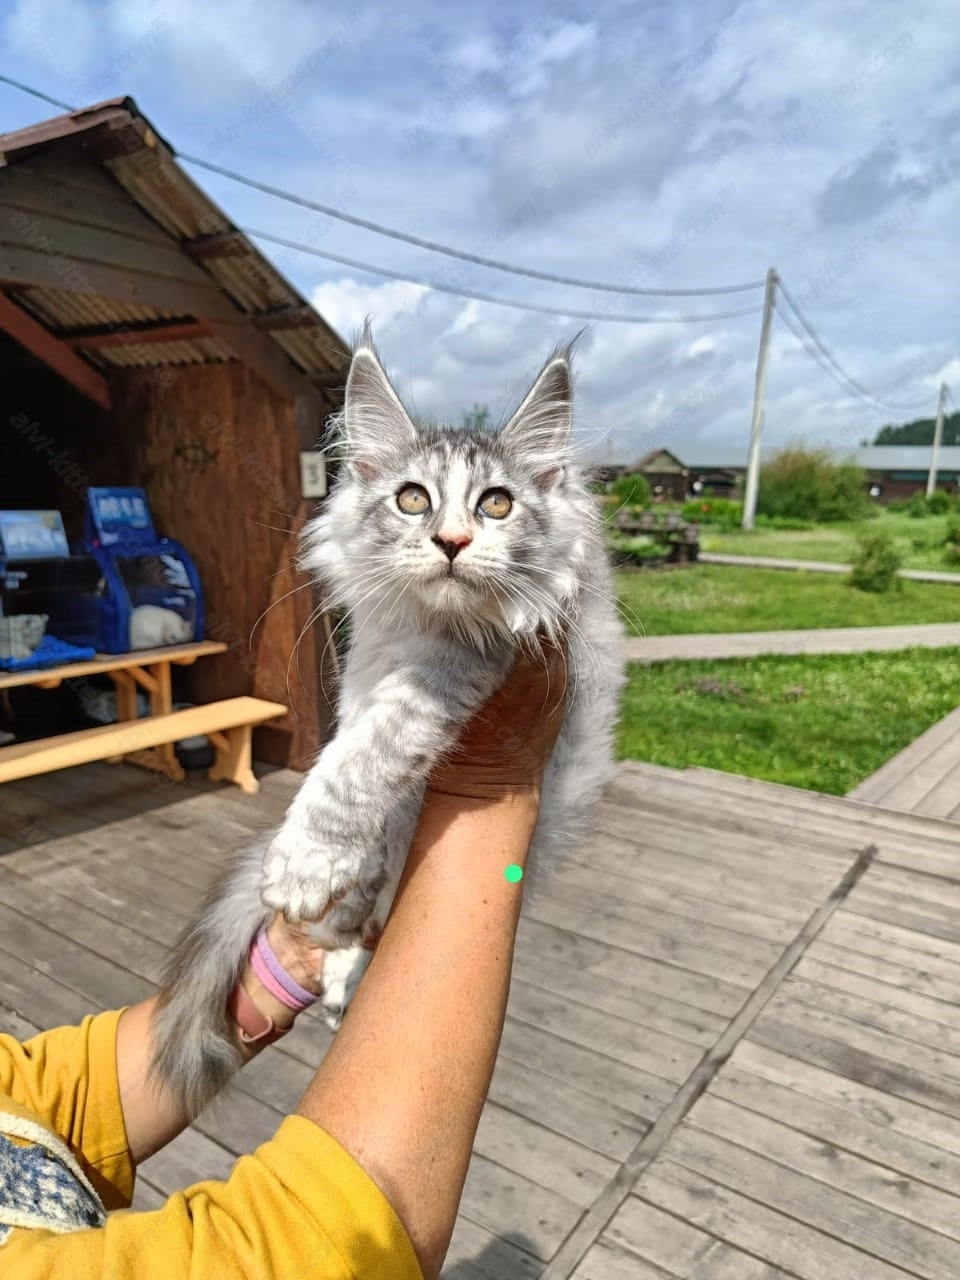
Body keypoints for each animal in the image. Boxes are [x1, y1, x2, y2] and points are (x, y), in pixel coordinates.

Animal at [150, 335, 624, 1116]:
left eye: (497, 504)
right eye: (412, 499)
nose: (453, 540)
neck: (422, 627)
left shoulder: (458, 666)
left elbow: (362, 761)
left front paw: (307, 861)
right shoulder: (363, 671)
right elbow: (352, 760)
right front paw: (332, 873)